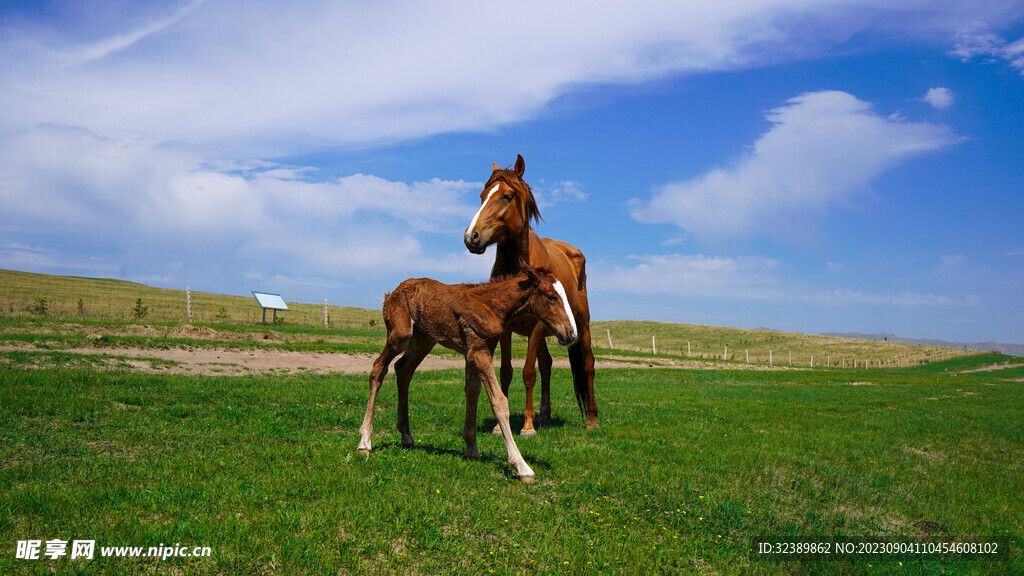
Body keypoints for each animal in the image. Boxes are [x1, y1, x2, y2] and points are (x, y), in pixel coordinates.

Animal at [356, 266, 577, 479]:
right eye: (550, 296)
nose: (571, 335)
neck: (491, 306)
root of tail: (392, 293)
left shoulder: (475, 351)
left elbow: (472, 391)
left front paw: (471, 449)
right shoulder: (479, 351)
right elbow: (499, 402)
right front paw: (521, 466)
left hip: (423, 340)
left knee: (403, 370)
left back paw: (406, 436)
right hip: (401, 335)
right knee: (378, 369)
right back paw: (365, 441)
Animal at [466, 154, 598, 432]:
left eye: (507, 196)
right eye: (482, 195)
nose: (471, 237)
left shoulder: (537, 326)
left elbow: (528, 373)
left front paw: (527, 427)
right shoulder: (506, 328)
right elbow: (506, 372)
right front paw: (499, 427)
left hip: (582, 324)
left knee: (588, 365)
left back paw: (591, 419)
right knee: (547, 365)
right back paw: (544, 415)